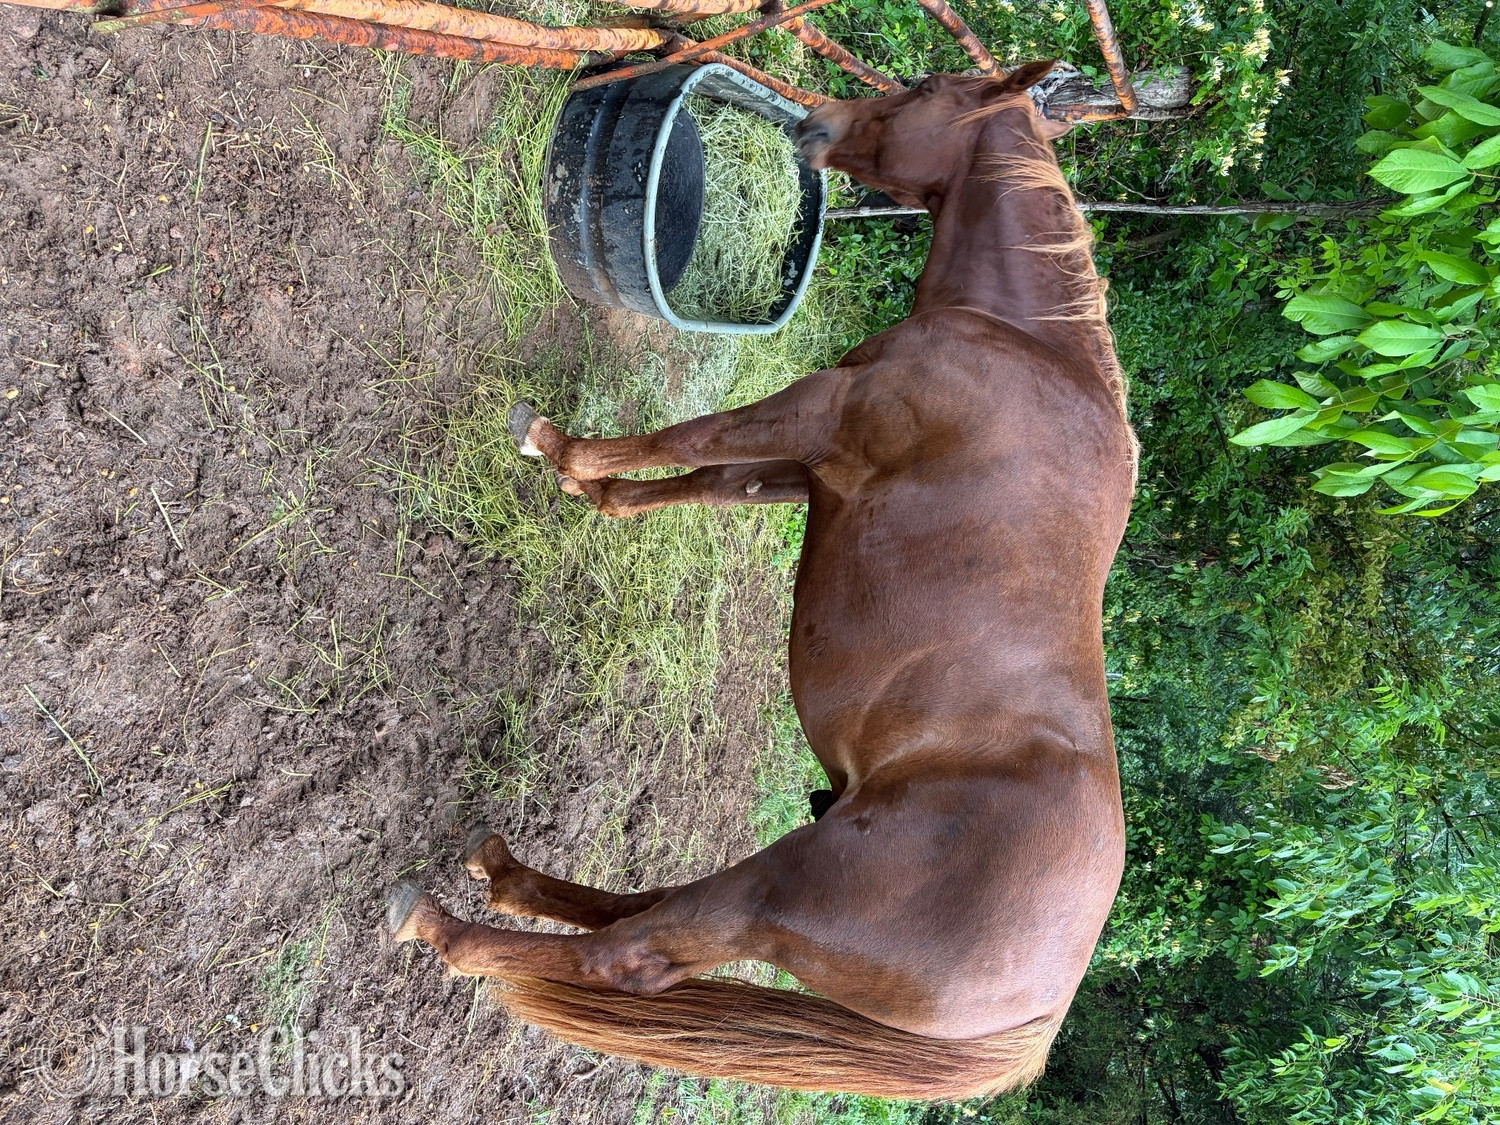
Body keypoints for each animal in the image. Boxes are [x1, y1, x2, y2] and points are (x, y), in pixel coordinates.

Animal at [387, 59, 1137, 1101]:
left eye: (922, 90)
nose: (815, 123)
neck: (1025, 341)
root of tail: (1033, 1013)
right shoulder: (811, 468)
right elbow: (706, 477)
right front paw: (596, 489)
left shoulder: (818, 413)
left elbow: (691, 437)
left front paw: (561, 448)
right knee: (645, 910)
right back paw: (500, 875)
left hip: (776, 895)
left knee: (626, 954)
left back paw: (445, 924)